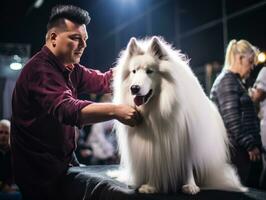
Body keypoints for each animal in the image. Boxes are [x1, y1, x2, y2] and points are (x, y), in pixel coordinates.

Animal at [111, 36, 246, 194]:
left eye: (150, 71)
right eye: (133, 71)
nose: (134, 88)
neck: (156, 107)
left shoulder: (185, 138)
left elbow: (188, 165)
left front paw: (191, 186)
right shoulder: (154, 146)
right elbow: (154, 165)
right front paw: (151, 185)